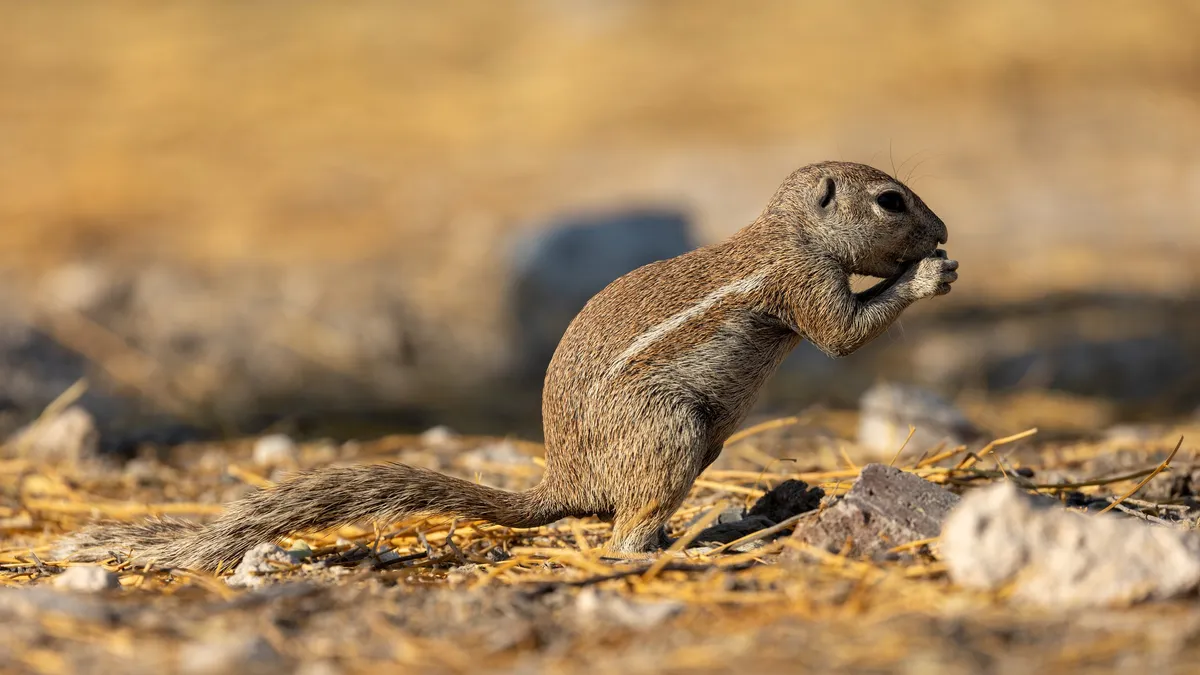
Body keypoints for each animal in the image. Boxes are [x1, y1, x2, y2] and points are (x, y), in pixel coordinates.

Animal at [55, 161, 957, 570]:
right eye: (891, 201)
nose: (944, 229)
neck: (786, 230)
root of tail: (568, 482)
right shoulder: (802, 284)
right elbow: (842, 335)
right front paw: (929, 273)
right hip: (670, 430)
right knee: (624, 535)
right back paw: (692, 545)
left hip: (701, 441)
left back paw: (743, 513)